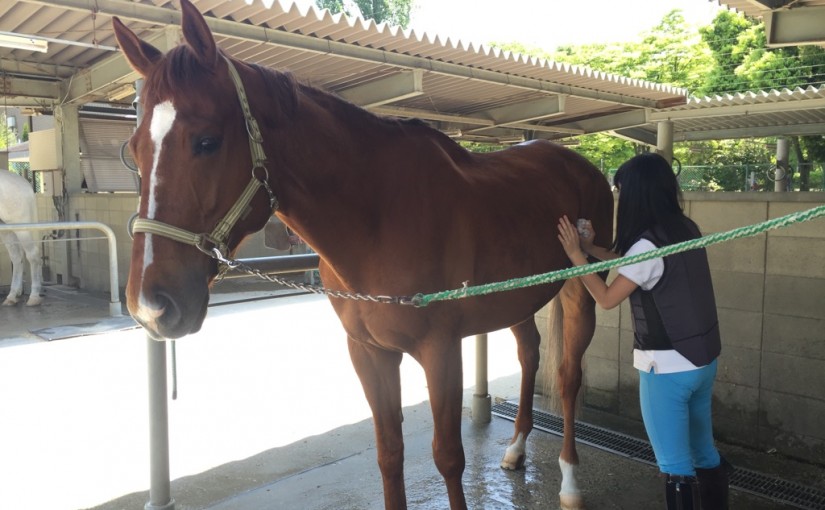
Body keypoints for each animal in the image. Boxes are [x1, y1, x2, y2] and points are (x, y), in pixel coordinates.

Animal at [0, 170, 43, 307]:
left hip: (22, 228)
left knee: (32, 255)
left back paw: (34, 297)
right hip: (6, 229)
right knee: (16, 257)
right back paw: (12, 296)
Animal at [113, 1, 613, 508]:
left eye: (207, 141)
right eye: (133, 151)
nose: (150, 306)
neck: (378, 217)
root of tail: (581, 165)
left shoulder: (441, 351)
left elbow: (449, 457)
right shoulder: (368, 352)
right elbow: (389, 453)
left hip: (581, 288)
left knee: (568, 377)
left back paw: (569, 480)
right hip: (518, 298)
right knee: (530, 355)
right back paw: (515, 448)